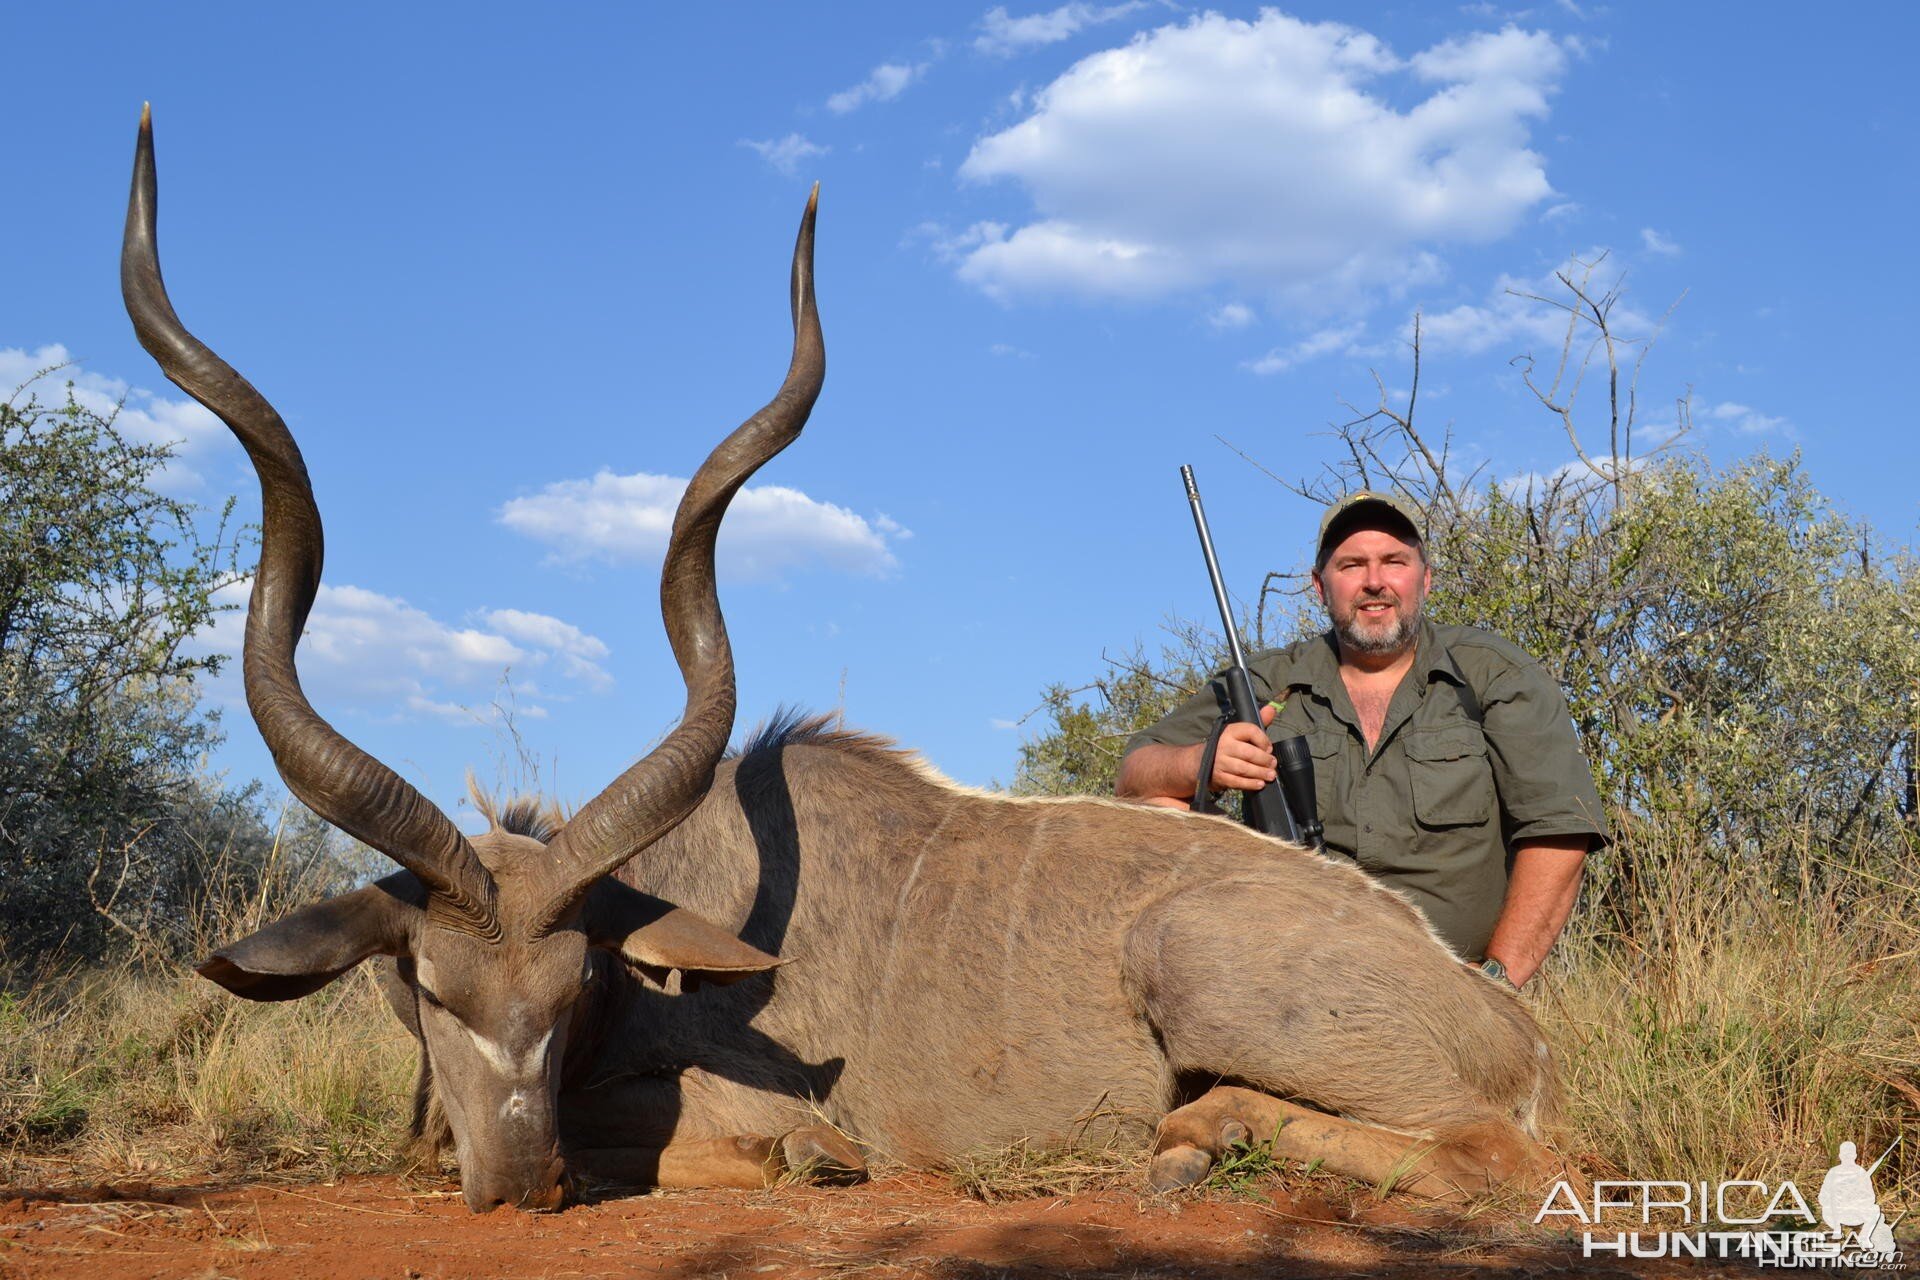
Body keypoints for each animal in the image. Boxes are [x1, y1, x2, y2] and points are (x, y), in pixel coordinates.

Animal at [131, 110, 1574, 1212]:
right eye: (428, 984)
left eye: (574, 980)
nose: (520, 1179)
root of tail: (1504, 1021)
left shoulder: (720, 1109)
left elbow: (778, 1144)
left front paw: (801, 1158)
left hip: (1211, 971)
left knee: (1493, 1155)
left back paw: (1199, 1138)